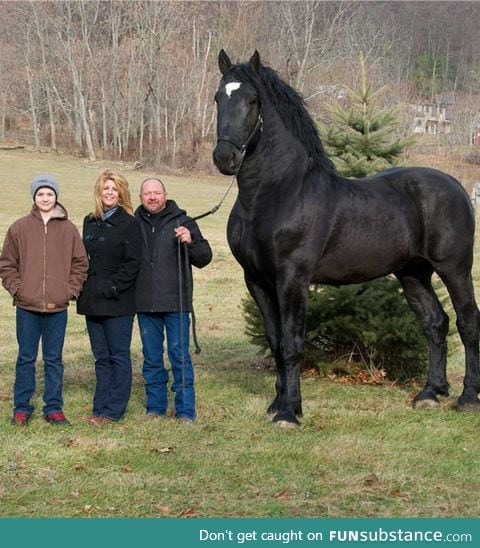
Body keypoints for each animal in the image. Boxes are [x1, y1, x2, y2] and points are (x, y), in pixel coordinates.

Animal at [213, 50, 480, 428]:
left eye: (252, 100)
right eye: (218, 98)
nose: (225, 158)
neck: (278, 192)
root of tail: (456, 186)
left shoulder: (292, 279)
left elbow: (293, 343)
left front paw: (289, 412)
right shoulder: (257, 280)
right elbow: (276, 341)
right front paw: (278, 403)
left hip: (454, 268)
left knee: (467, 322)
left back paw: (468, 397)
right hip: (413, 273)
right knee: (435, 324)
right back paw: (430, 393)